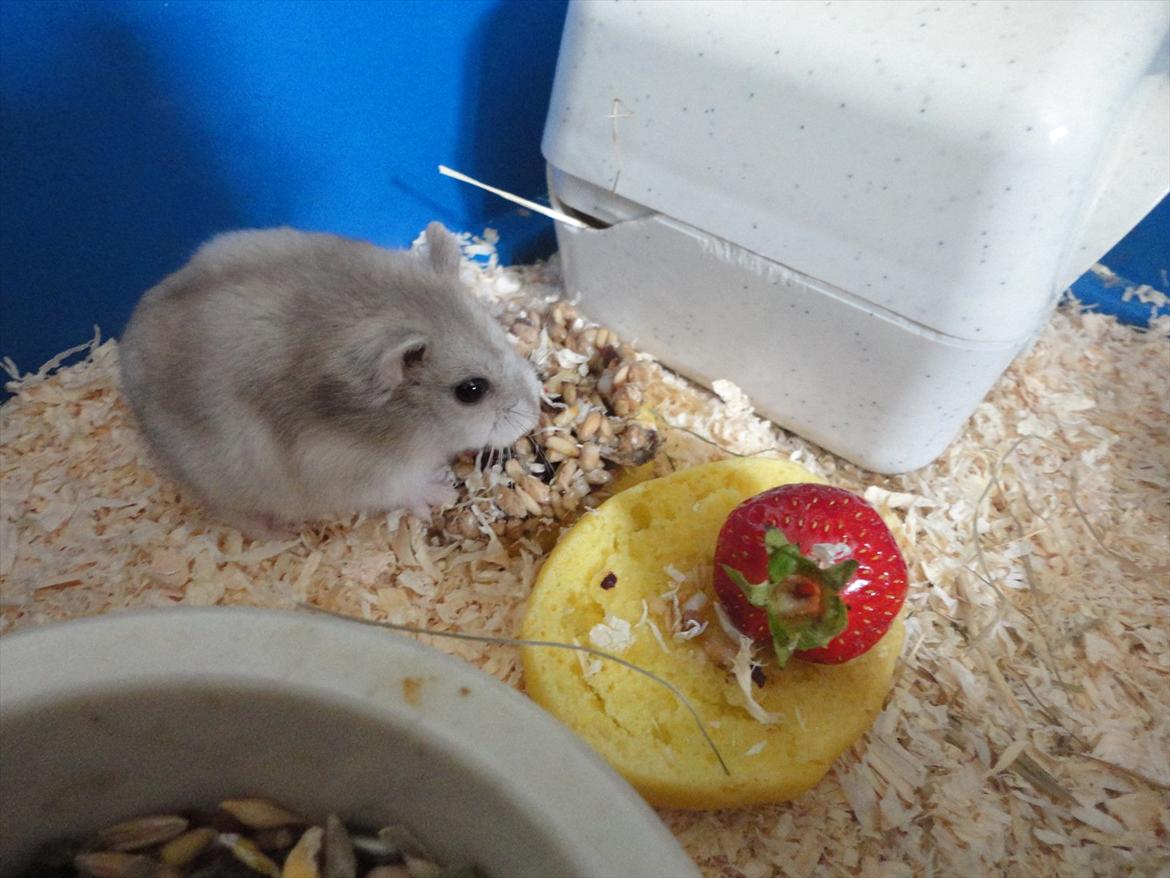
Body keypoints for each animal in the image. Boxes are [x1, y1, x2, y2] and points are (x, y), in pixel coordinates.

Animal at [118, 222, 542, 533]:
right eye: (471, 391)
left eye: (499, 330)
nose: (534, 417)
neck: (410, 424)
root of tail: (126, 344)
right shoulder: (355, 470)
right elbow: (403, 487)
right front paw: (440, 492)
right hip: (221, 482)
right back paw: (280, 534)